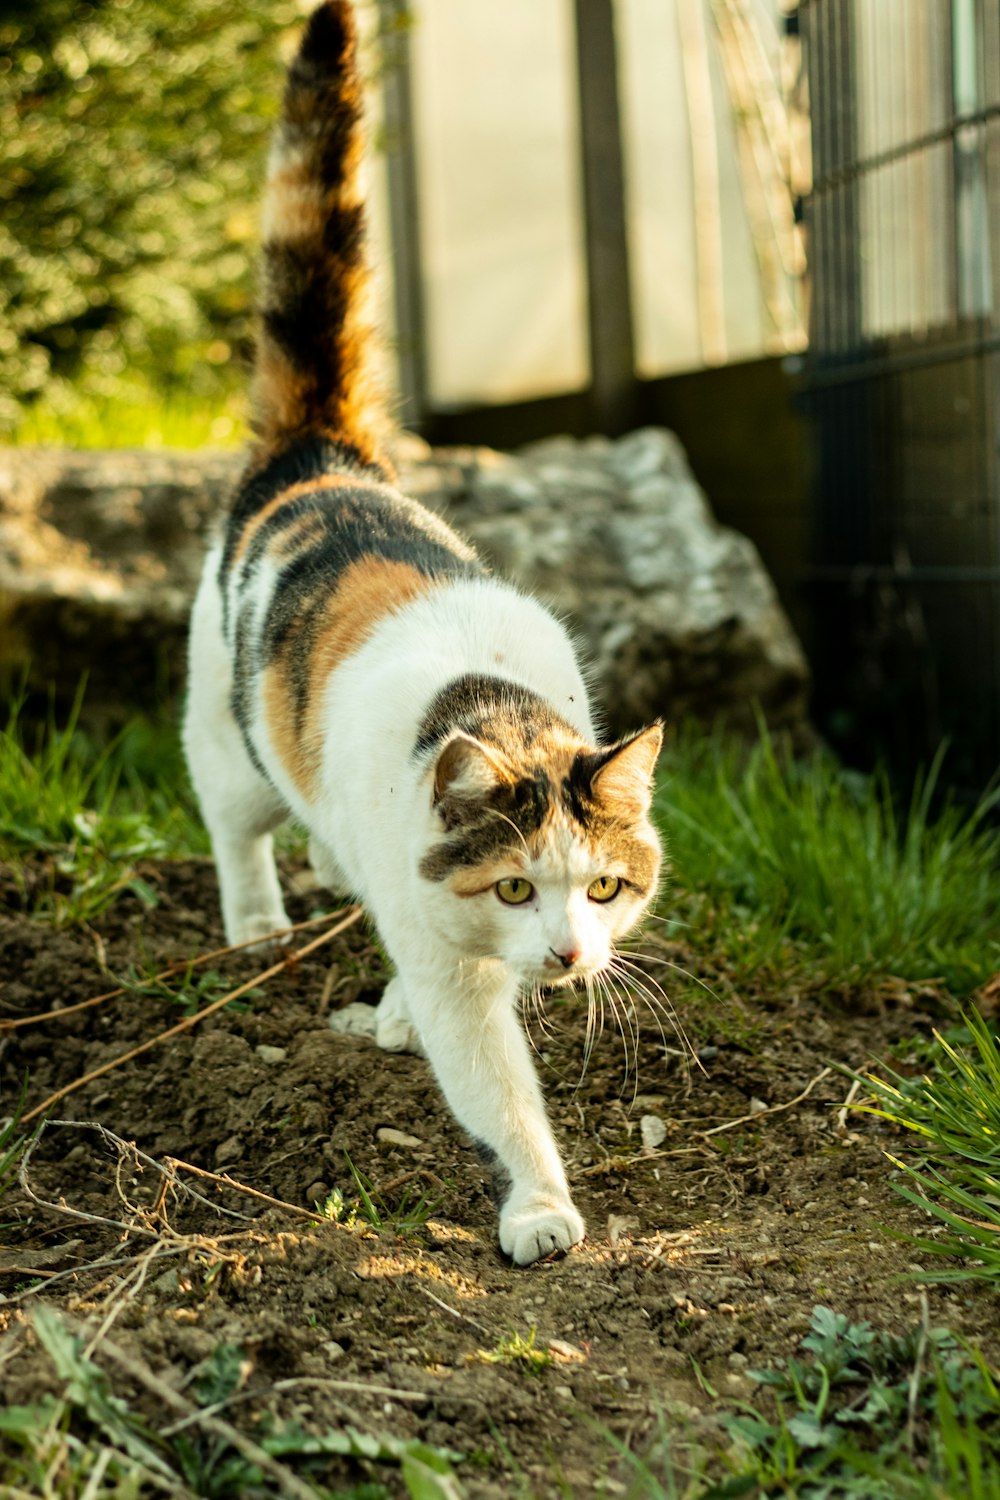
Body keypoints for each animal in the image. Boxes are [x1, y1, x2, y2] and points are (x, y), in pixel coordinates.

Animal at [183, 0, 665, 1266]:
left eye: (605, 887)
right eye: (516, 889)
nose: (568, 958)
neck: (493, 705)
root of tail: (321, 454)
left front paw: (393, 1013)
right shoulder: (456, 955)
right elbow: (491, 1079)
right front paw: (541, 1209)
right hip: (219, 722)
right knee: (234, 822)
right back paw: (258, 921)